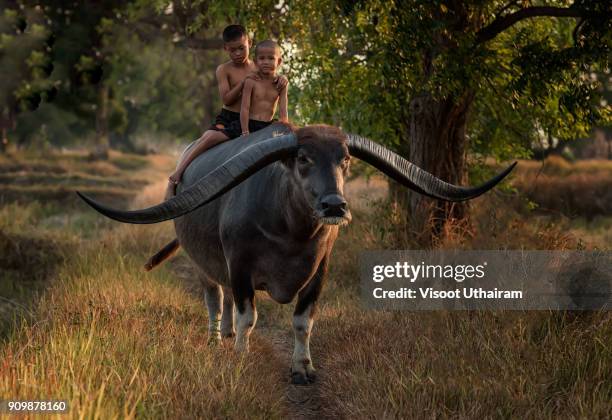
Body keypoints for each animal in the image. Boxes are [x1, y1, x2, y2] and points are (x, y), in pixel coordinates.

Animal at [77, 124, 516, 384]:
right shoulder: (240, 266)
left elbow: (303, 321)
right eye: (303, 159)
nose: (335, 205)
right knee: (215, 298)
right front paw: (241, 355)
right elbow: (249, 315)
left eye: (345, 159)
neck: (288, 231)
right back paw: (219, 339)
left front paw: (303, 367)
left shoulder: (319, 270)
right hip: (202, 263)